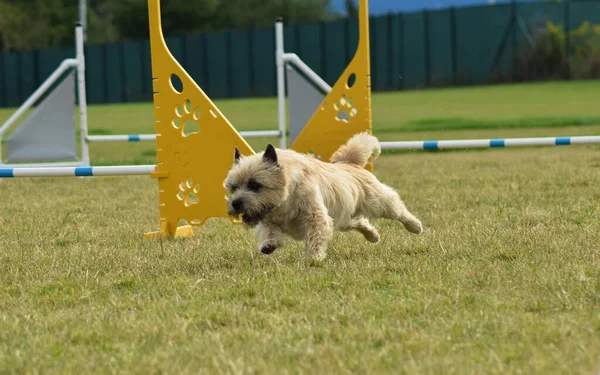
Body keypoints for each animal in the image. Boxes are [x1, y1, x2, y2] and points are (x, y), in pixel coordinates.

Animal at [223, 133, 424, 262]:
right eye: (233, 187)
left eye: (255, 185)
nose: (235, 203)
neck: (284, 202)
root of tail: (349, 163)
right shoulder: (270, 219)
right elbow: (269, 230)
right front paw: (268, 244)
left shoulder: (315, 216)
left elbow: (315, 237)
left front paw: (313, 258)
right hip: (342, 218)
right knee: (360, 221)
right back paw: (372, 236)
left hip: (377, 201)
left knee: (397, 208)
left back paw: (415, 226)